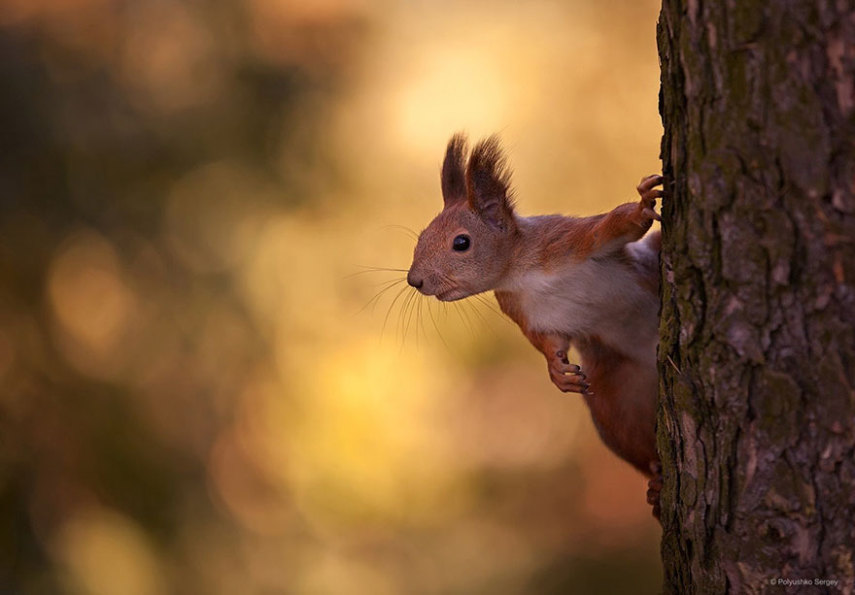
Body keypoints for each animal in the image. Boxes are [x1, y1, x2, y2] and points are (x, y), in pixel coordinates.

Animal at [406, 134, 664, 516]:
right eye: (421, 237)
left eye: (461, 243)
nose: (415, 280)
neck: (521, 273)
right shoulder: (524, 311)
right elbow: (546, 341)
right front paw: (557, 373)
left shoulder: (569, 239)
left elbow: (614, 226)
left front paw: (643, 205)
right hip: (616, 401)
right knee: (639, 448)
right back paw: (657, 479)